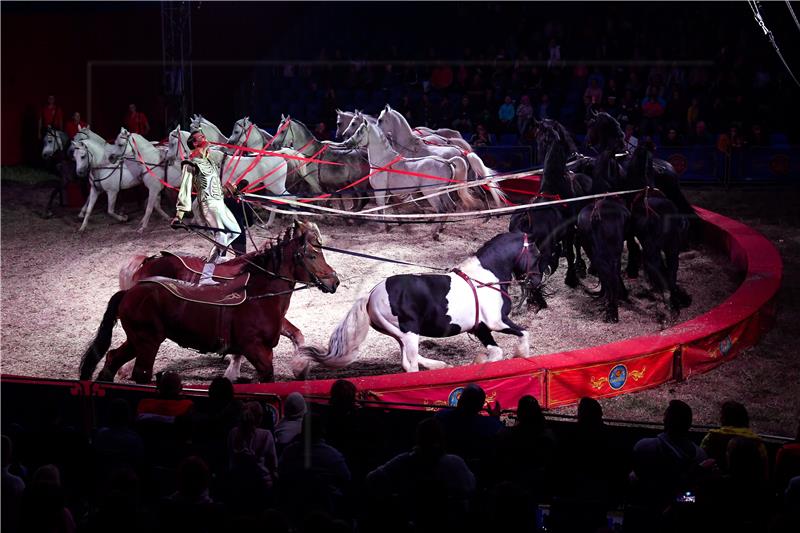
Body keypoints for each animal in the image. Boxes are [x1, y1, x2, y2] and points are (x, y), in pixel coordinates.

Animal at [82, 219, 340, 382]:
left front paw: (301, 368)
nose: (334, 281)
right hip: (147, 339)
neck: (257, 289)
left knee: (113, 357)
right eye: (312, 254)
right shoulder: (256, 347)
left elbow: (297, 335)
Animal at [296, 231, 544, 376]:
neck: (485, 278)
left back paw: (439, 366)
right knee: (410, 364)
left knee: (408, 360)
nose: (536, 281)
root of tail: (371, 294)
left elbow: (496, 351)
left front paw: (479, 363)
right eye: (537, 253)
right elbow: (524, 334)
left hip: (399, 334)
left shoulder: (481, 328)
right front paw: (521, 356)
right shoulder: (497, 322)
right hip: (409, 333)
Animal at [376, 104, 506, 206]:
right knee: (482, 194)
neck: (408, 145)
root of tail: (464, 152)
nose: (376, 130)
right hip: (470, 178)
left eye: (380, 120)